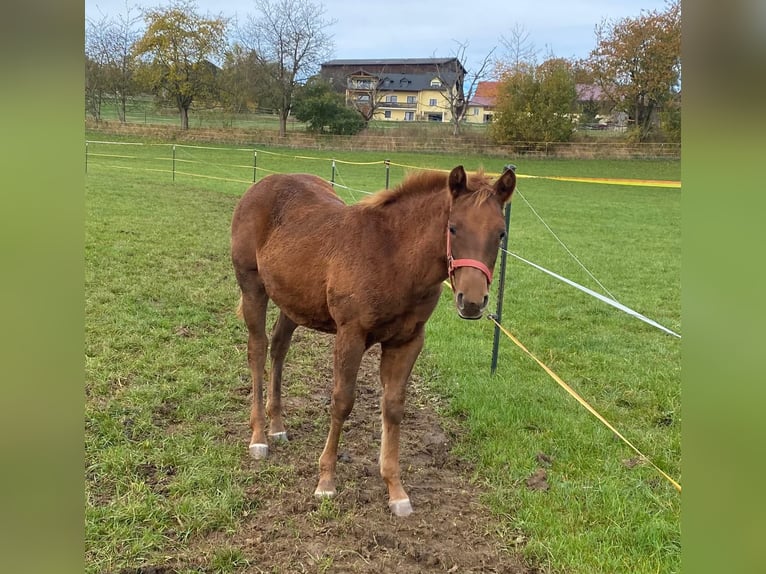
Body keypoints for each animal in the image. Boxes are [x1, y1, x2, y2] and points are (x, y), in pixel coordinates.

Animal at [228, 165, 516, 516]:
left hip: (293, 301)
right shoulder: (350, 334)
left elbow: (392, 407)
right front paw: (326, 481)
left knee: (279, 347)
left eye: (501, 233)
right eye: (453, 227)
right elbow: (342, 402)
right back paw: (259, 437)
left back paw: (277, 426)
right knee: (257, 349)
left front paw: (396, 490)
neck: (393, 256)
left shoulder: (407, 341)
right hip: (252, 287)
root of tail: (261, 185)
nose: (472, 302)